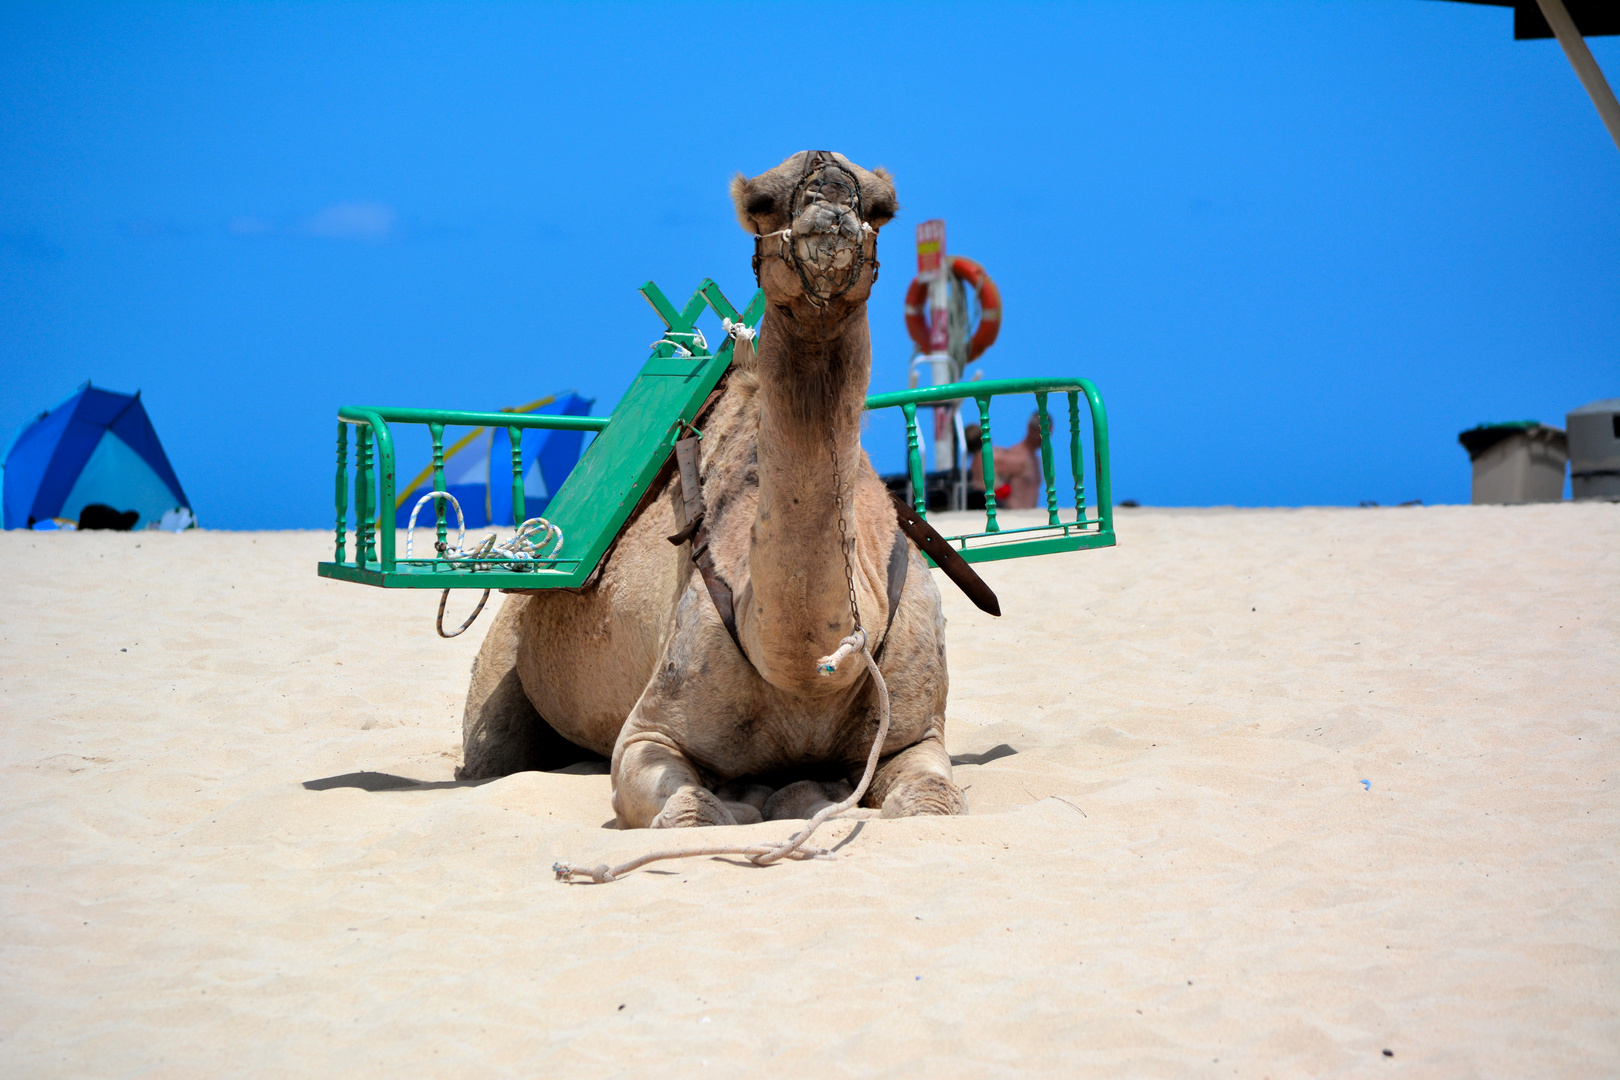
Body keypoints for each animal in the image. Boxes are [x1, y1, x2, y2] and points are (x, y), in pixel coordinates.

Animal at [456, 152, 959, 829]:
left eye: (882, 208)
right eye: (762, 202)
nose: (830, 196)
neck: (810, 672)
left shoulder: (917, 732)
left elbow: (932, 803)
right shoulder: (650, 730)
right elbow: (689, 812)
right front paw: (744, 805)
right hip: (503, 651)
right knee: (493, 752)